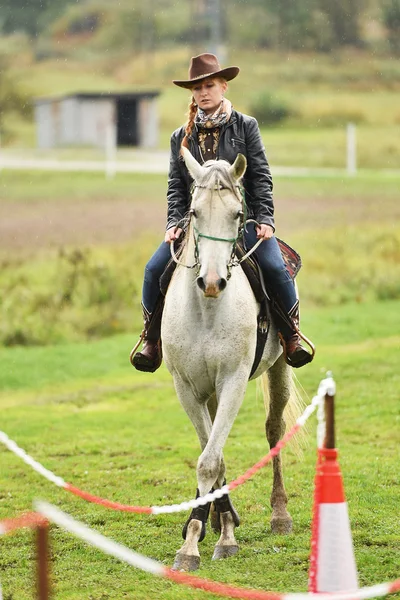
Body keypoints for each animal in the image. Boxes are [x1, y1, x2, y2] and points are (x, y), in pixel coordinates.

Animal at [161, 148, 302, 568]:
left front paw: (214, 539)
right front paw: (206, 531)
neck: (207, 310)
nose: (211, 282)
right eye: (193, 213)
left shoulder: (233, 382)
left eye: (238, 214)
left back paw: (280, 515)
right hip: (207, 392)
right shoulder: (187, 388)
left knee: (274, 429)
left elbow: (212, 458)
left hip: (279, 368)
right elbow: (213, 457)